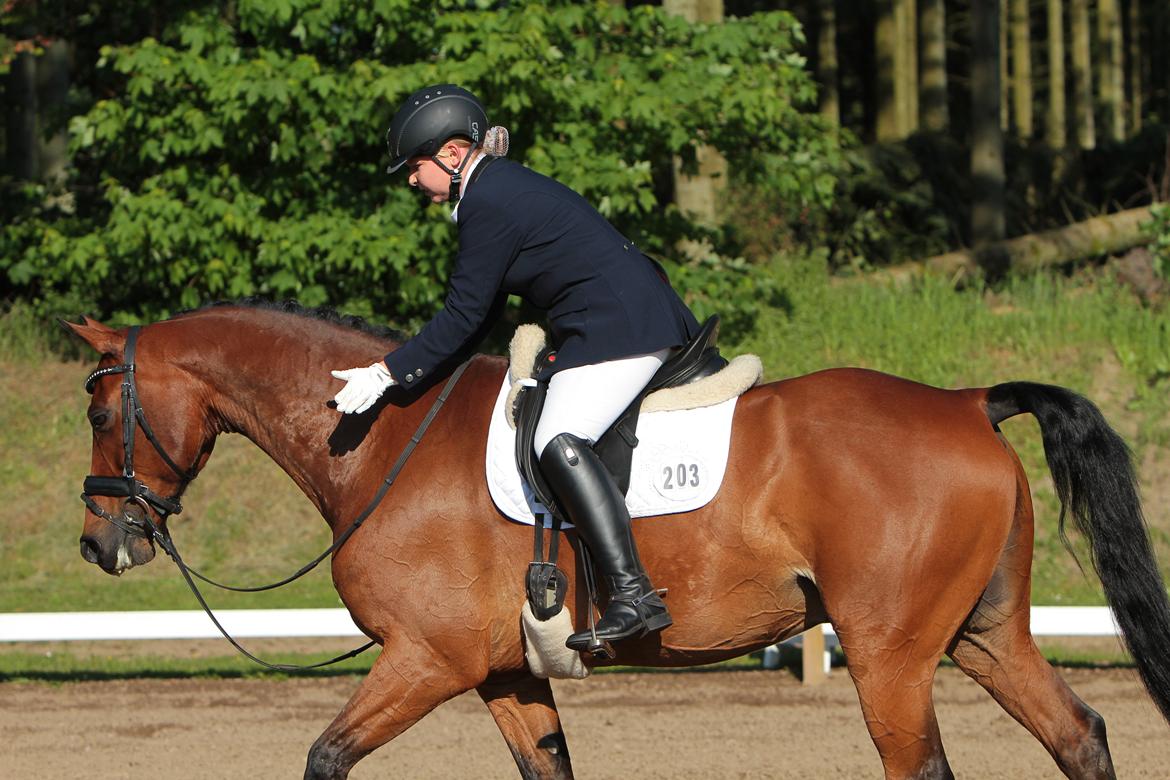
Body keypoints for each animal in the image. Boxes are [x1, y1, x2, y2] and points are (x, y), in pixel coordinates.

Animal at [65, 300, 1170, 780]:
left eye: (100, 407)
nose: (101, 544)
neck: (379, 440)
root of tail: (967, 401)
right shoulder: (503, 672)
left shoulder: (425, 661)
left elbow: (325, 758)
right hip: (984, 635)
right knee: (1080, 735)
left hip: (890, 655)